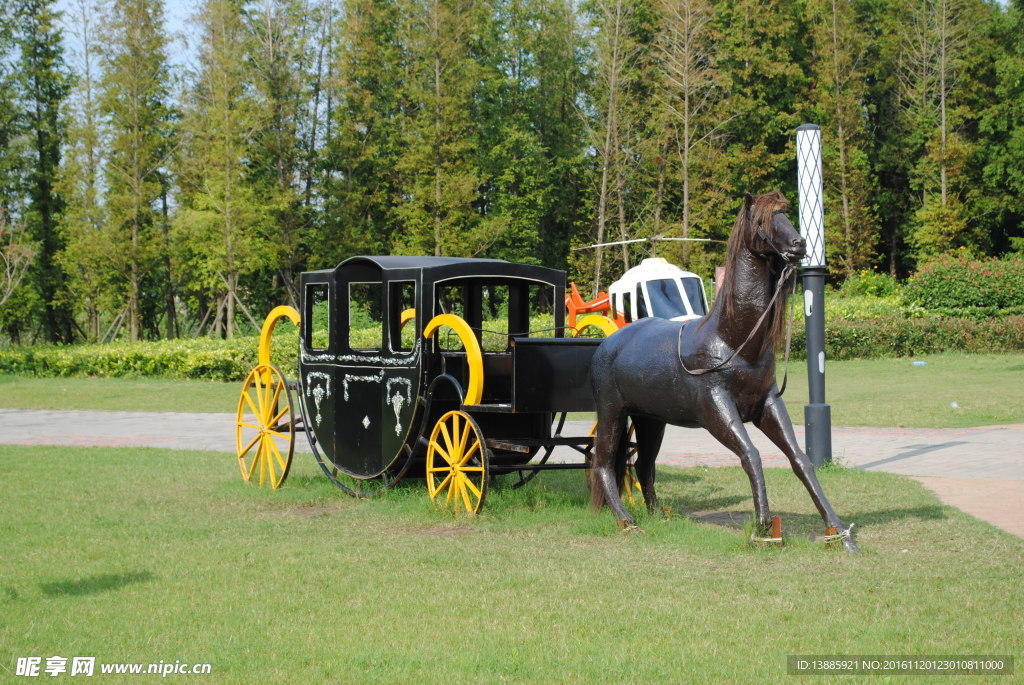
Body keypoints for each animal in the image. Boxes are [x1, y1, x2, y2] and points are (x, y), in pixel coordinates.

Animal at [589, 189, 860, 552]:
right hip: (612, 412)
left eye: (786, 213)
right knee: (604, 462)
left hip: (650, 420)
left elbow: (800, 459)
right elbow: (751, 455)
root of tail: (608, 344)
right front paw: (763, 528)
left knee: (644, 464)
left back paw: (658, 516)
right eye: (761, 219)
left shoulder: (768, 404)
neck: (734, 342)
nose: (799, 244)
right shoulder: (716, 410)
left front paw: (838, 532)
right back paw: (627, 522)